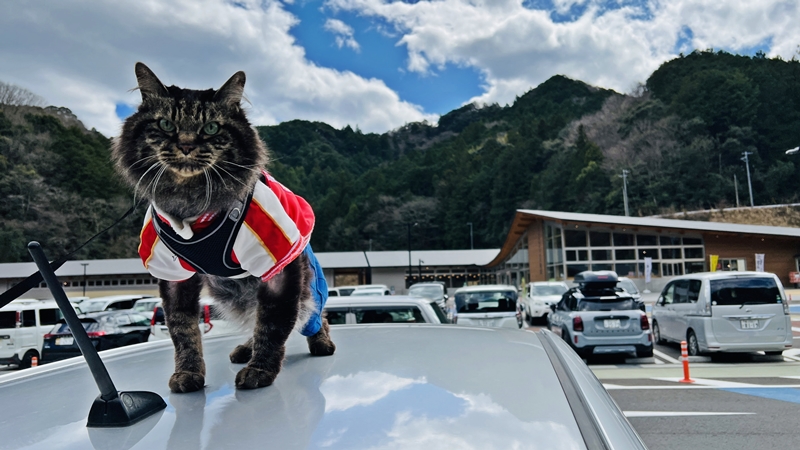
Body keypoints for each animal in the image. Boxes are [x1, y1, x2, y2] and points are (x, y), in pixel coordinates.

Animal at [111, 63, 334, 394]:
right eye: (165, 124)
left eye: (211, 129)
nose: (186, 145)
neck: (192, 205)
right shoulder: (174, 277)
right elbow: (183, 330)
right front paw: (188, 373)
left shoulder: (278, 269)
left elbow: (273, 325)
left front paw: (261, 369)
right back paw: (245, 349)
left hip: (305, 288)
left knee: (314, 316)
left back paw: (321, 342)